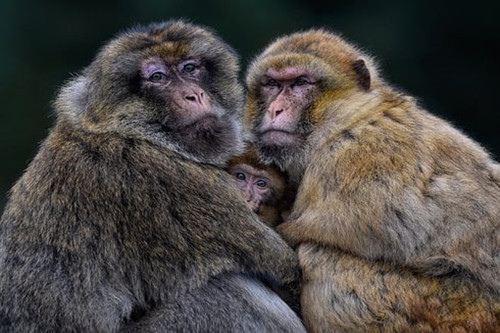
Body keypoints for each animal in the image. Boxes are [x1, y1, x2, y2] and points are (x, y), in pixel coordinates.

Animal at [0, 20, 304, 332]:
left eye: (189, 68)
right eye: (157, 77)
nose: (194, 95)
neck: (132, 132)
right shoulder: (176, 184)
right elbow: (284, 270)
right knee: (228, 291)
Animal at [245, 29, 500, 332]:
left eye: (301, 83)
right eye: (272, 84)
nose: (276, 110)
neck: (349, 119)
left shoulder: (357, 156)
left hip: (451, 313)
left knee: (321, 257)